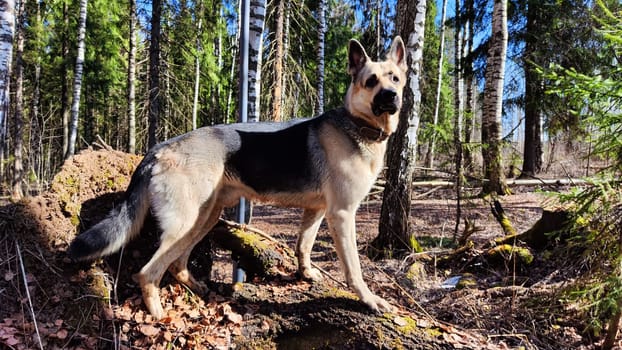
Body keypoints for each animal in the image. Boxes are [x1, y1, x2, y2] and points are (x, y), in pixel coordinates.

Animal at [69, 37, 410, 318]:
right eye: (370, 81)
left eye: (395, 78)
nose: (391, 96)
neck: (358, 126)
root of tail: (160, 147)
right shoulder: (342, 214)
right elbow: (353, 268)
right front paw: (368, 299)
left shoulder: (317, 210)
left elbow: (303, 245)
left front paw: (305, 274)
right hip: (186, 223)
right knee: (148, 272)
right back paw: (156, 313)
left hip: (204, 217)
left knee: (176, 264)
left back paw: (200, 289)